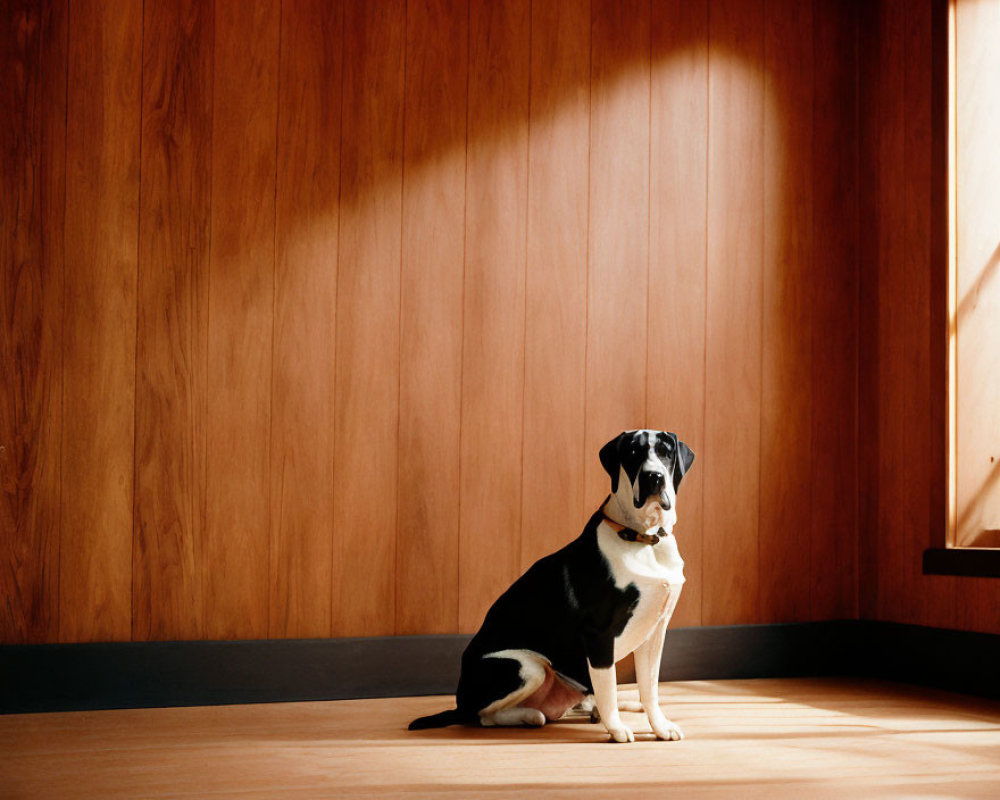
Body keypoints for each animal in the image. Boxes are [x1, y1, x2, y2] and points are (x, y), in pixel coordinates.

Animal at [408, 432, 696, 744]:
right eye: (633, 453)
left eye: (666, 452)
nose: (653, 477)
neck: (643, 538)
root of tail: (460, 701)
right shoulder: (598, 633)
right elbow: (608, 686)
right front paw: (617, 729)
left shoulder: (655, 632)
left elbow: (650, 687)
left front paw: (660, 726)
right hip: (526, 667)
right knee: (482, 715)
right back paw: (530, 715)